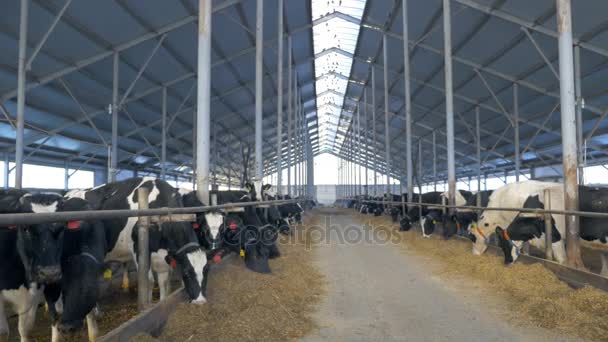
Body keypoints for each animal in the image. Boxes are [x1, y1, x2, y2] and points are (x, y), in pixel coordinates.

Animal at [65, 178, 209, 304]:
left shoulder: (162, 254)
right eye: (186, 273)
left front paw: (162, 302)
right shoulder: (137, 247)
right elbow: (148, 280)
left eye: (206, 271)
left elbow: (163, 280)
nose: (200, 301)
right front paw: (147, 305)